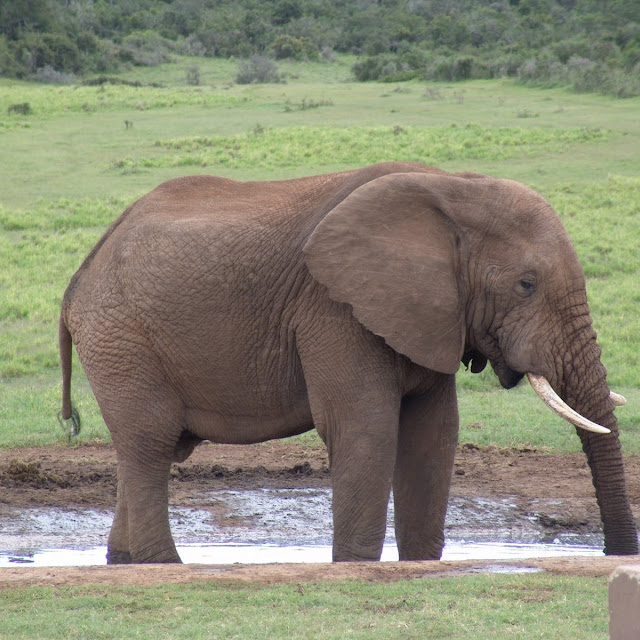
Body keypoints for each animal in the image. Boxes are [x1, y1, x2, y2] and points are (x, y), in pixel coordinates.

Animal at [58, 162, 636, 564]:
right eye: (526, 285)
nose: (619, 554)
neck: (453, 186)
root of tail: (81, 273)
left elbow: (434, 434)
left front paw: (420, 564)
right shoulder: (335, 310)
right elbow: (366, 429)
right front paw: (356, 565)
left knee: (141, 451)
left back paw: (122, 561)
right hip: (122, 337)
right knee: (150, 445)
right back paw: (165, 565)